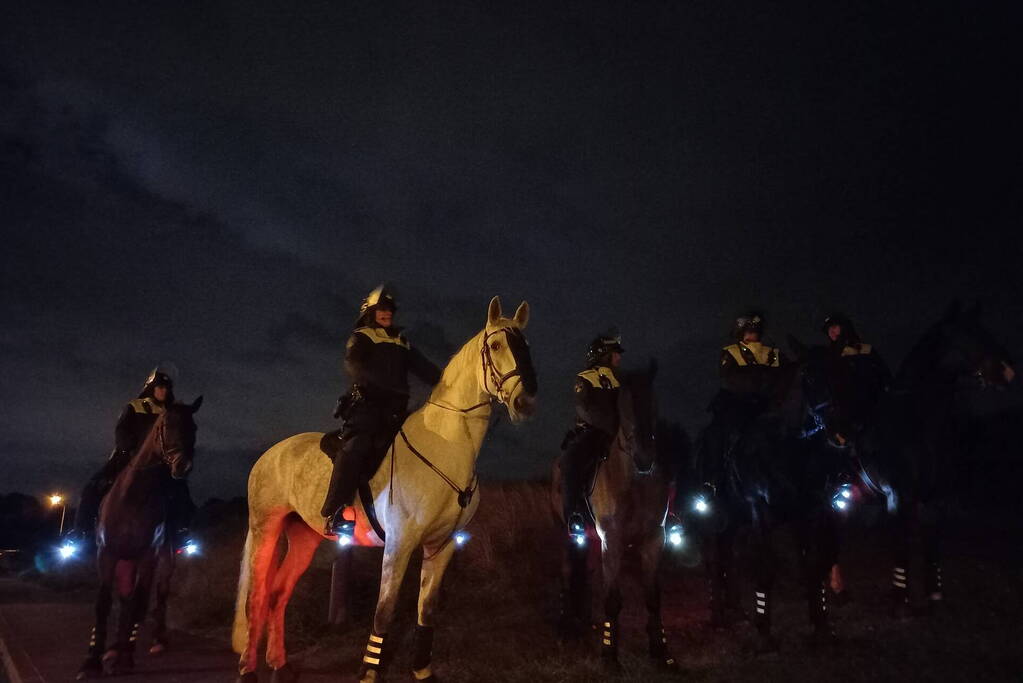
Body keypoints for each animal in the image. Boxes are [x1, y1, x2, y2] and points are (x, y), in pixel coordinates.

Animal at [233, 296, 536, 683]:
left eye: (525, 346)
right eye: (496, 345)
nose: (525, 402)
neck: (446, 444)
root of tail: (268, 456)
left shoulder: (441, 546)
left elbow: (427, 611)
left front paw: (422, 670)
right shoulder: (399, 544)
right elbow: (384, 611)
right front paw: (368, 672)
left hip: (303, 538)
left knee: (278, 593)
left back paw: (279, 664)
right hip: (265, 529)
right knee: (255, 598)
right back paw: (248, 671)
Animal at [552, 366, 679, 670]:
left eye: (654, 403)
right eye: (624, 407)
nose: (644, 458)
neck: (634, 482)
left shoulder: (655, 540)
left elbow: (653, 597)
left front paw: (661, 651)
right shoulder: (612, 542)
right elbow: (612, 599)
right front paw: (609, 654)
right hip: (565, 533)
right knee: (566, 575)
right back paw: (564, 627)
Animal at [691, 347, 851, 650]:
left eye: (839, 374)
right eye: (809, 377)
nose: (840, 431)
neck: (787, 448)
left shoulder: (811, 511)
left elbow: (815, 564)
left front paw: (821, 625)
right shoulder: (761, 512)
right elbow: (765, 568)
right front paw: (764, 632)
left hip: (735, 520)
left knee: (727, 554)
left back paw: (734, 609)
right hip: (716, 519)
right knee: (714, 560)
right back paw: (717, 616)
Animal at [830, 306, 1014, 617]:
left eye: (985, 331)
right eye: (967, 334)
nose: (1008, 371)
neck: (916, 424)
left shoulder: (934, 501)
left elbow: (932, 545)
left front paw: (934, 594)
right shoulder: (898, 498)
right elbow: (901, 545)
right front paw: (899, 598)